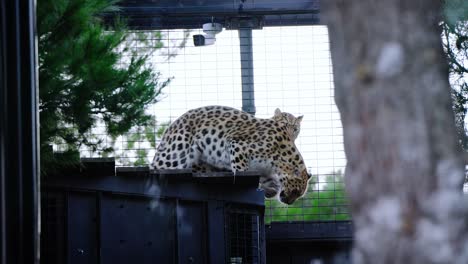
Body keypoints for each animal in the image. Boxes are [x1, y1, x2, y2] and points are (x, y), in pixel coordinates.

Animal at [151, 105, 310, 204]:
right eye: (295, 191)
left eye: (296, 129)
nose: (289, 203)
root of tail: (172, 126)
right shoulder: (238, 145)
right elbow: (242, 171)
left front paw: (269, 190)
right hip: (176, 155)